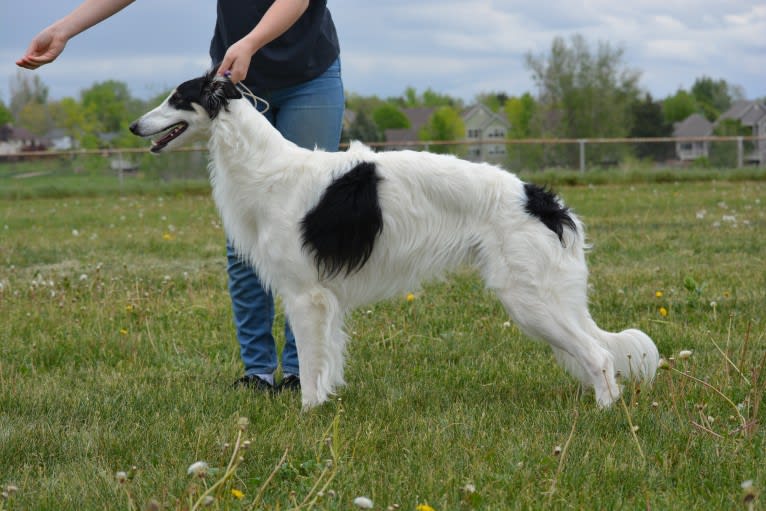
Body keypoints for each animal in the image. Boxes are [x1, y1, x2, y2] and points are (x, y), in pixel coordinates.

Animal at [130, 70, 660, 410]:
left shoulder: (305, 295)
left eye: (177, 98)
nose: (135, 126)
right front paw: (323, 403)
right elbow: (327, 361)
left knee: (598, 356)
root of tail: (543, 201)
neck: (267, 166)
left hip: (530, 299)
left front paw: (307, 413)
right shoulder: (324, 298)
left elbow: (311, 364)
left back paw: (605, 412)